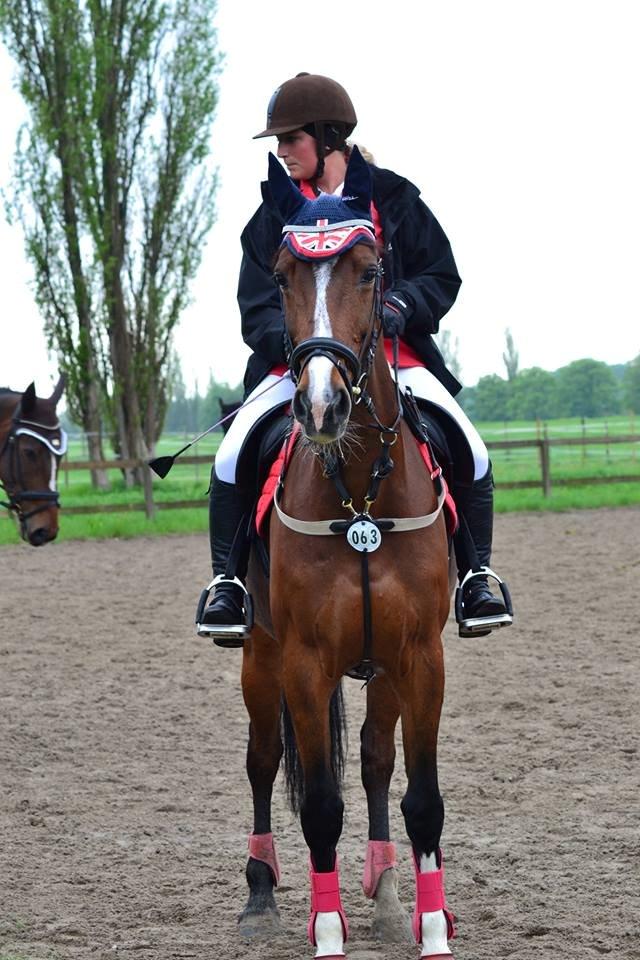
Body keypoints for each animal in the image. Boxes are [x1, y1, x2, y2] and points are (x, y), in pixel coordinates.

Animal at [235, 146, 456, 956]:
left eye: (370, 271)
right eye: (280, 274)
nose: (322, 405)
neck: (359, 490)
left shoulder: (419, 656)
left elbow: (420, 797)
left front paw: (432, 929)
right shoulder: (303, 660)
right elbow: (320, 805)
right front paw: (327, 934)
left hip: (382, 667)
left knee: (371, 759)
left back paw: (389, 892)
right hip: (262, 656)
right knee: (265, 761)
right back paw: (262, 895)